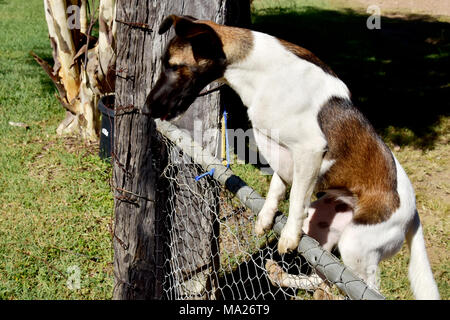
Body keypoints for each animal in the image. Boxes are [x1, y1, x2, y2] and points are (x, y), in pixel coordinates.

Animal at [147, 15, 440, 300]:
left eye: (174, 66)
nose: (147, 107)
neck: (258, 73)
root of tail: (413, 212)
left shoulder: (309, 150)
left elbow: (297, 196)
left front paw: (287, 236)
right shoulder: (283, 154)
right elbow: (277, 188)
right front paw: (266, 217)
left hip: (357, 245)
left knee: (362, 288)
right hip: (321, 225)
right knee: (324, 282)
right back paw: (282, 276)